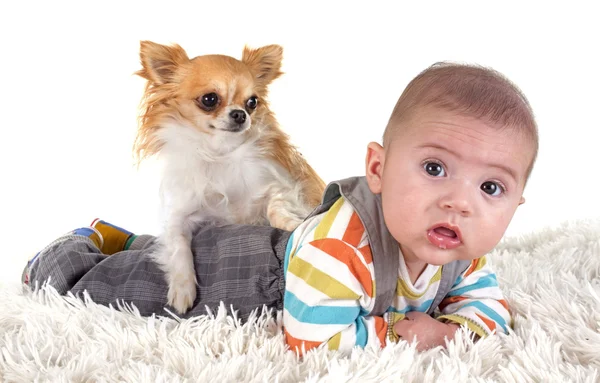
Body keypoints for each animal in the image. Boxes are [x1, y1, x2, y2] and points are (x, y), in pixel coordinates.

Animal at [134, 40, 326, 316]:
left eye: (252, 102)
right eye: (209, 99)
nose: (240, 114)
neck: (220, 153)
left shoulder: (281, 186)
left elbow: (276, 206)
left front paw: (290, 222)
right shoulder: (178, 218)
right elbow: (179, 247)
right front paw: (182, 289)